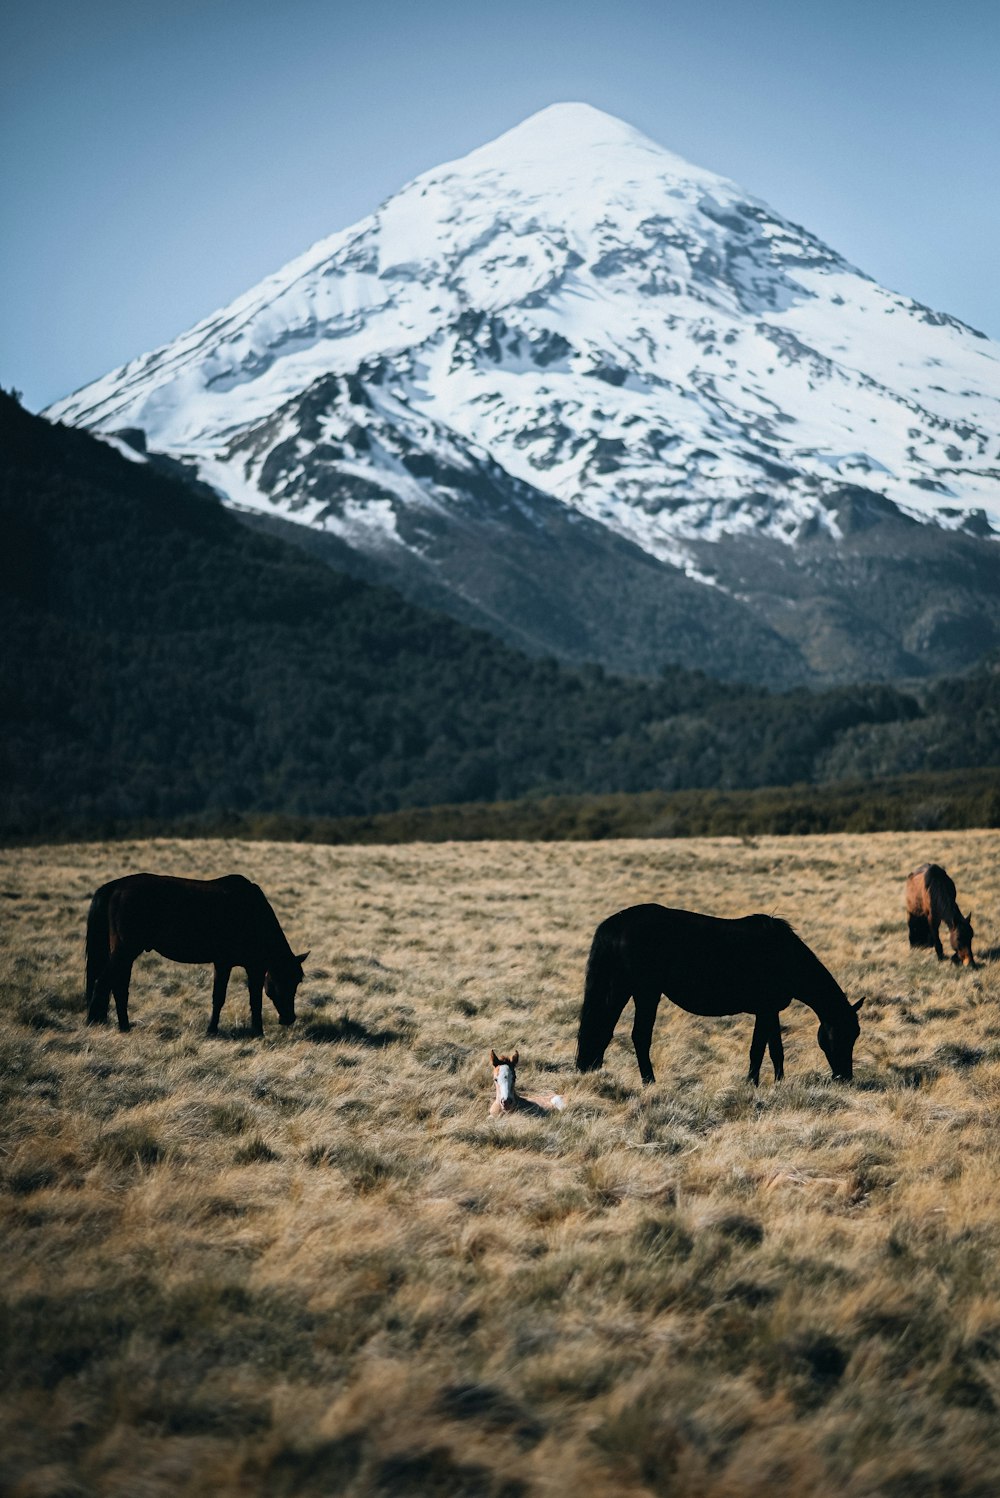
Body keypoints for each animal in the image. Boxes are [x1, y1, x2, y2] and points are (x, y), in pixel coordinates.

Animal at [84, 874, 306, 1036]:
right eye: (282, 980)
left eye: (297, 981)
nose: (289, 1018)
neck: (251, 914)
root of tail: (116, 887)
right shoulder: (227, 964)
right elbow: (223, 998)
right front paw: (215, 1031)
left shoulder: (249, 967)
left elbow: (251, 999)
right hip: (125, 951)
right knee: (104, 983)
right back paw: (94, 1022)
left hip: (125, 955)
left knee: (118, 987)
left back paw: (124, 1026)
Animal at [574, 898, 862, 1090]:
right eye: (843, 1035)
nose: (845, 1078)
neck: (785, 955)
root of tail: (615, 925)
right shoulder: (765, 1009)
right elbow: (758, 1049)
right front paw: (753, 1084)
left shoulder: (770, 1010)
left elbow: (775, 1049)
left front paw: (779, 1082)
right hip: (645, 992)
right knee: (639, 1036)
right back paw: (649, 1082)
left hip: (622, 989)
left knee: (603, 1027)